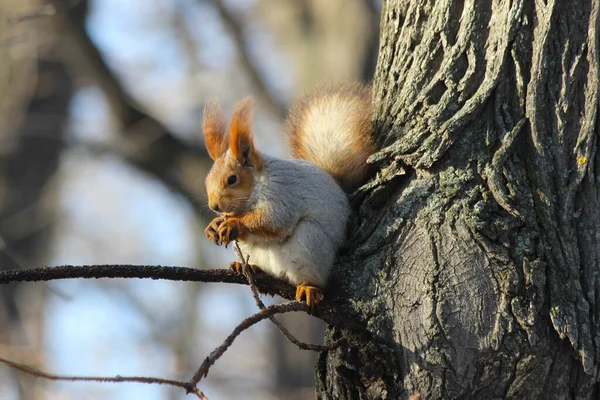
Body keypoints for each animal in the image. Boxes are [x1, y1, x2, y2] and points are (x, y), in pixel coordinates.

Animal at [204, 83, 378, 310]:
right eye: (207, 180)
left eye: (232, 179)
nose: (214, 206)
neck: (249, 197)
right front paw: (214, 225)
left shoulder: (281, 194)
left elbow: (274, 221)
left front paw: (234, 224)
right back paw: (250, 267)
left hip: (310, 242)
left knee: (312, 276)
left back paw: (309, 287)